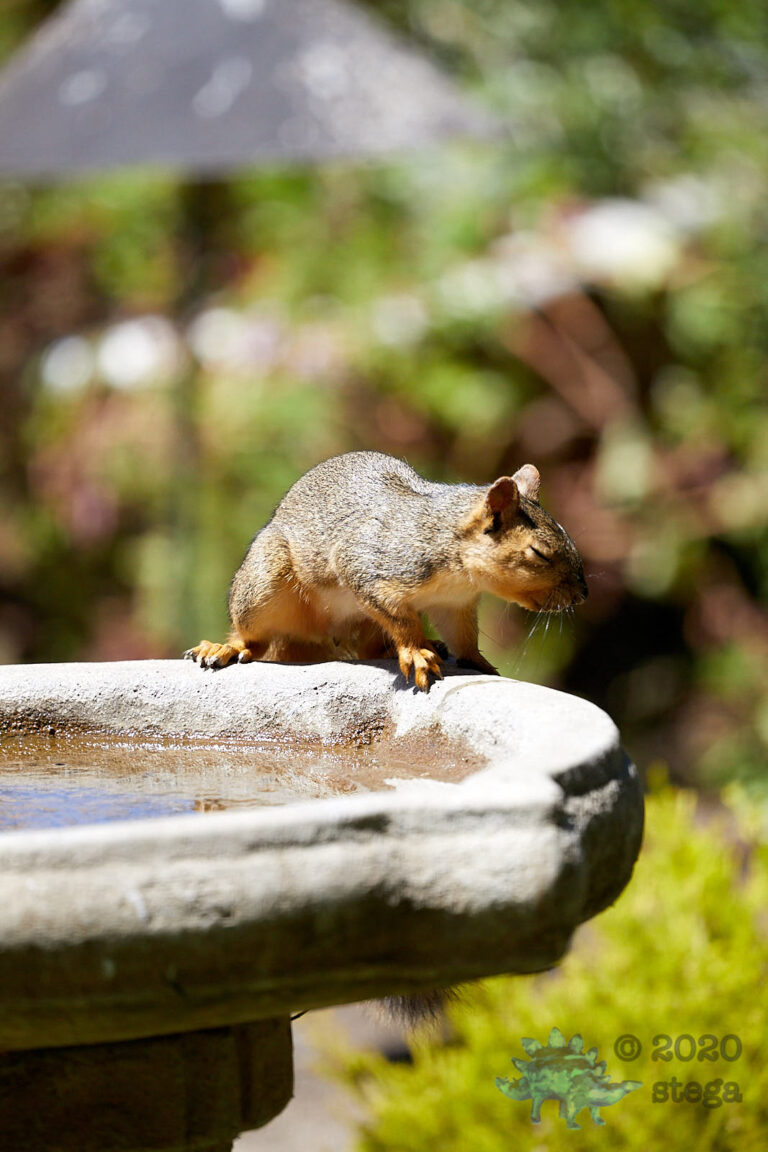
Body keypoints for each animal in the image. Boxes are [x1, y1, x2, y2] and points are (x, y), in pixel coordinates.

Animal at [184, 450, 587, 687]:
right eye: (539, 554)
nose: (581, 595)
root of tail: (318, 642)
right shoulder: (369, 566)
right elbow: (402, 620)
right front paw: (415, 651)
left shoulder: (454, 605)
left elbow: (463, 637)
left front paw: (479, 663)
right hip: (264, 585)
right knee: (254, 637)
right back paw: (226, 647)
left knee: (369, 647)